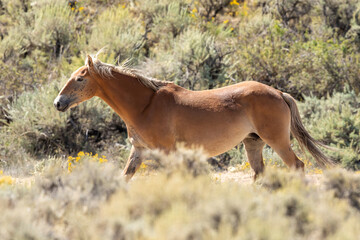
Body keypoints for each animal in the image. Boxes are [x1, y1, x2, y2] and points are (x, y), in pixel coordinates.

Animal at [52, 55, 332, 180]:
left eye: (80, 78)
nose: (58, 103)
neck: (145, 105)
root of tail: (278, 93)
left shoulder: (167, 152)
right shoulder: (139, 150)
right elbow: (125, 177)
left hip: (277, 141)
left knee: (297, 166)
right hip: (253, 143)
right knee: (259, 174)